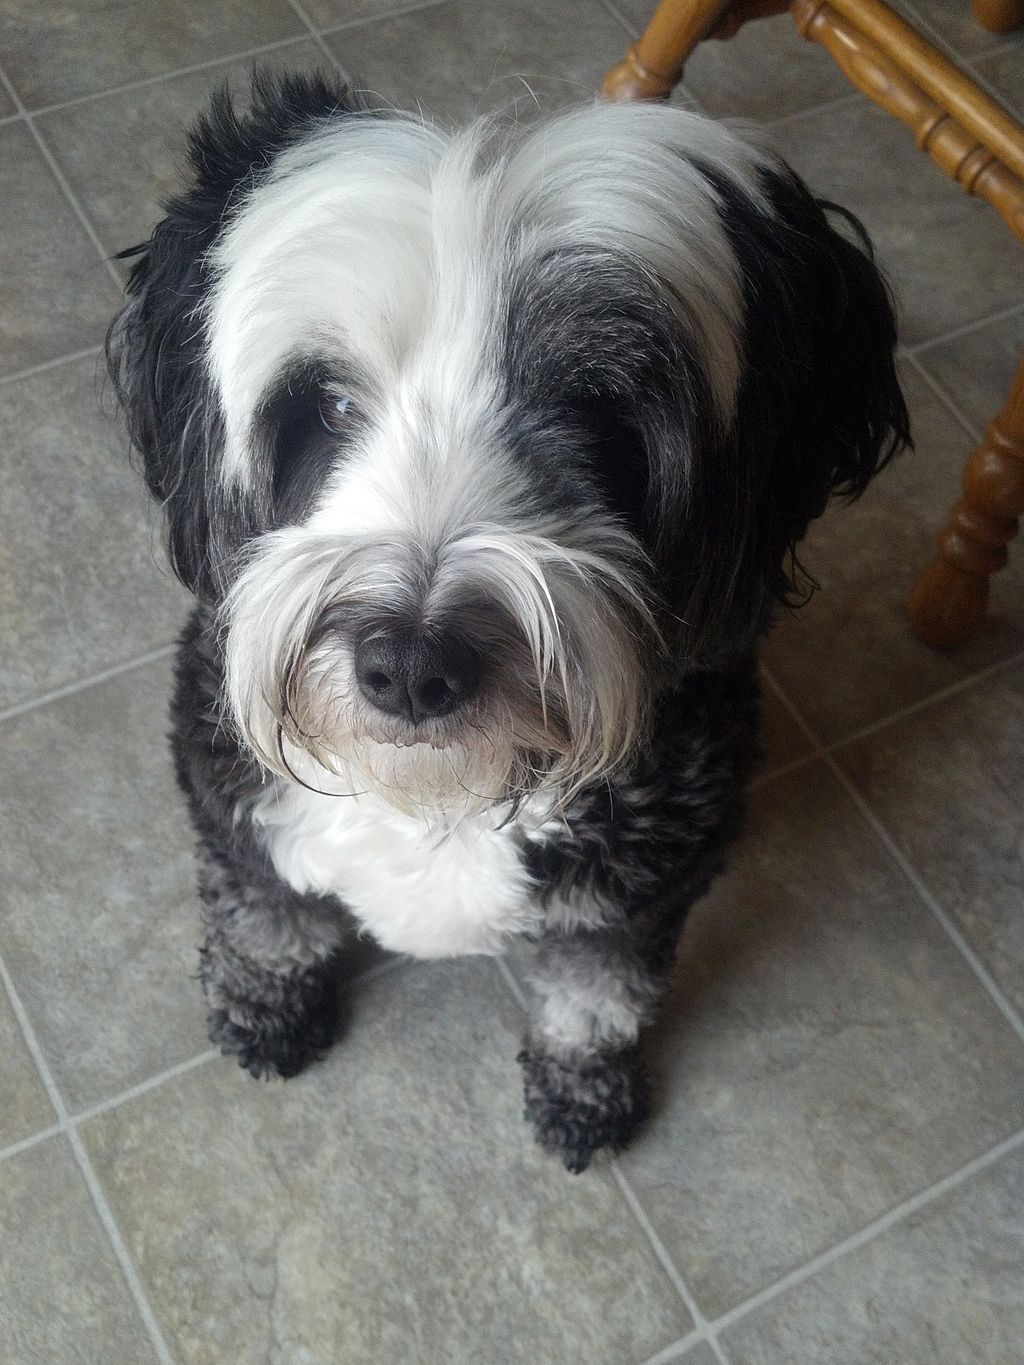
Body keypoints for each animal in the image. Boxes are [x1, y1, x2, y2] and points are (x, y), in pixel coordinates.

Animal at [110, 66, 912, 1173]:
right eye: (330, 406)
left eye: (596, 412)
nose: (410, 665)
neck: (443, 796)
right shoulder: (229, 787)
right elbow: (264, 912)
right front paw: (264, 1003)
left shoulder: (645, 882)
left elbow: (598, 995)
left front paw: (583, 1091)